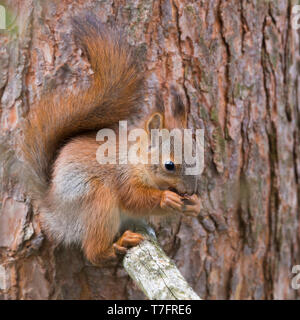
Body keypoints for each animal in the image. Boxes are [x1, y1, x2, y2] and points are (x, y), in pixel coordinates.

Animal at [19, 13, 202, 264]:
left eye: (197, 153)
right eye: (169, 165)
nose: (190, 191)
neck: (135, 160)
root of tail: (54, 211)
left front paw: (195, 205)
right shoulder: (122, 177)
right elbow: (134, 199)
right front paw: (166, 198)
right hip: (97, 201)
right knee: (93, 252)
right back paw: (116, 246)